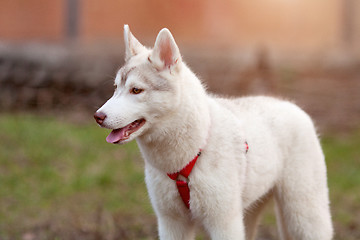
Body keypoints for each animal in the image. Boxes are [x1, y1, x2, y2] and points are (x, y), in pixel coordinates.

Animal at [94, 25, 334, 239]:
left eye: (136, 90)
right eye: (116, 88)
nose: (98, 116)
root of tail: (292, 105)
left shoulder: (223, 223)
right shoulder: (172, 223)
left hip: (304, 217)